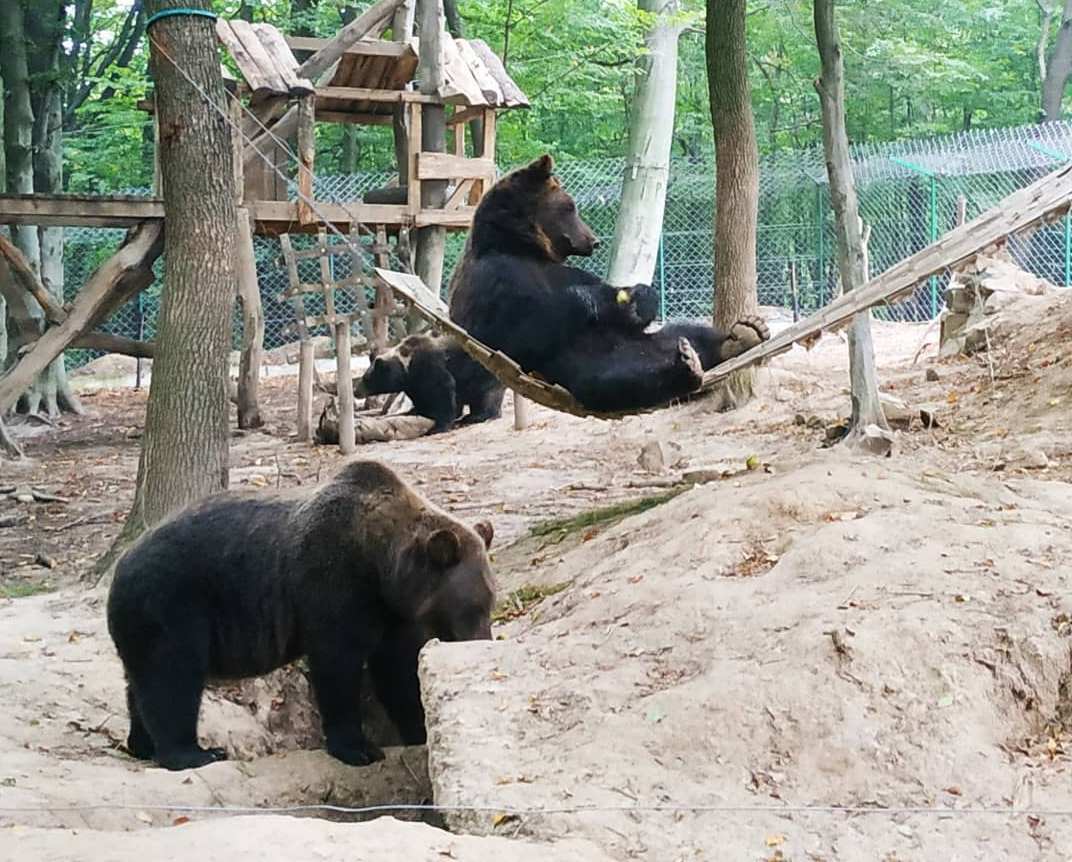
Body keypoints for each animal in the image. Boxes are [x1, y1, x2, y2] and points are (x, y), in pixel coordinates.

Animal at [106, 461, 495, 771]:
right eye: (472, 608)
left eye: (491, 602)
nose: (483, 640)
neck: (382, 564)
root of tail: (120, 568)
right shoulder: (333, 582)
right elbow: (337, 664)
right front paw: (359, 748)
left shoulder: (392, 612)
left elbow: (398, 670)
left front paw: (420, 729)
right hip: (172, 605)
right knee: (173, 676)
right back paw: (193, 752)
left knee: (141, 680)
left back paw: (141, 744)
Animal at [445, 154, 771, 413]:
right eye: (571, 207)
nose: (593, 240)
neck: (520, 245)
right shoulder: (490, 282)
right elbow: (509, 331)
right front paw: (595, 301)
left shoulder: (564, 270)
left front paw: (641, 298)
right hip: (585, 367)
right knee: (618, 380)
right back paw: (687, 367)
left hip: (653, 342)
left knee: (687, 332)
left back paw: (744, 335)